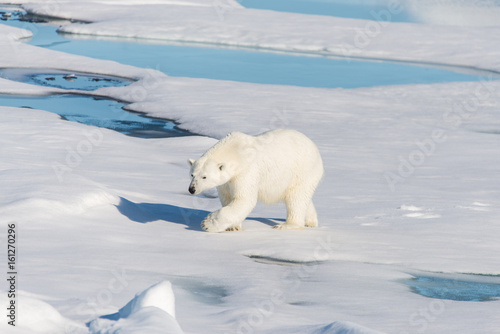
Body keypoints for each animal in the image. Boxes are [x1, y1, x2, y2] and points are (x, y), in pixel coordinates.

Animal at [188, 129, 324, 232]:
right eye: (192, 175)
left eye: (204, 176)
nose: (191, 189)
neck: (236, 152)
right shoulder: (226, 181)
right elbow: (227, 197)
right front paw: (233, 227)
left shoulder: (246, 171)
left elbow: (244, 199)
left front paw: (207, 224)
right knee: (303, 198)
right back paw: (310, 222)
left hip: (302, 170)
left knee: (296, 197)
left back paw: (287, 225)